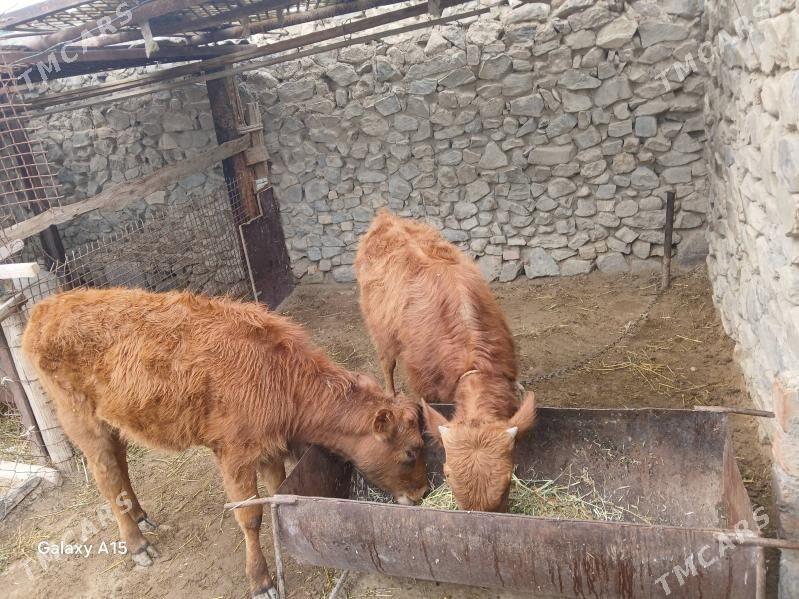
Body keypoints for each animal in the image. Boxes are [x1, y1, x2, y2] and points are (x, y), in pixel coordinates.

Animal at [22, 288, 428, 599]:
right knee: (106, 476)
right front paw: (261, 582)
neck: (280, 376)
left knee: (120, 464)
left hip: (114, 421)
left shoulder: (268, 450)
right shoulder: (234, 456)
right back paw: (138, 545)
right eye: (410, 451)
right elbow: (249, 516)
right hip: (81, 420)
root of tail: (46, 308)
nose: (422, 493)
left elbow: (276, 493)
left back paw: (140, 515)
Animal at [355, 211, 537, 513]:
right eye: (448, 476)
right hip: (380, 332)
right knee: (387, 365)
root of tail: (385, 217)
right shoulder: (426, 384)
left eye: (507, 481)